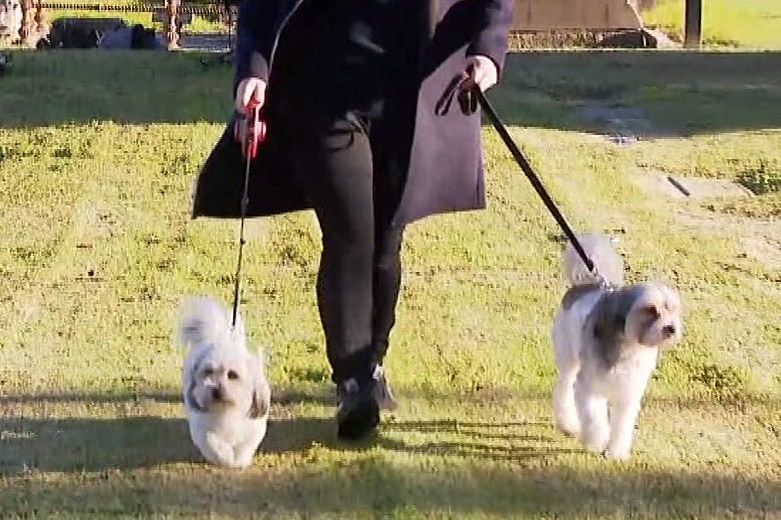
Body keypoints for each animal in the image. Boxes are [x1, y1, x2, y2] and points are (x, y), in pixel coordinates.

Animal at [177, 294, 272, 470]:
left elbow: (245, 446)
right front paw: (226, 458)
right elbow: (213, 444)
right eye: (208, 372)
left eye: (232, 375)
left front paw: (240, 461)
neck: (227, 410)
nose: (216, 389)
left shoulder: (252, 427)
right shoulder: (204, 428)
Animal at [548, 235, 684, 460]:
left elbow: (622, 425)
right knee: (565, 387)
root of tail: (585, 284)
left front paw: (616, 453)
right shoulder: (592, 389)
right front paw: (596, 443)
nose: (671, 328)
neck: (628, 347)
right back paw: (568, 423)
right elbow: (595, 419)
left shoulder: (628, 394)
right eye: (650, 310)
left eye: (672, 310)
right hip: (568, 358)